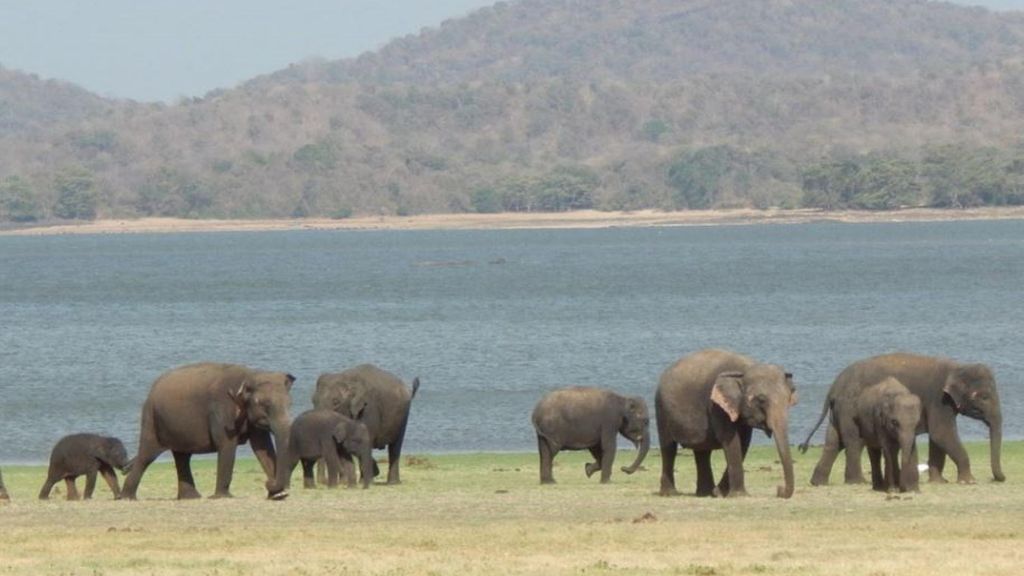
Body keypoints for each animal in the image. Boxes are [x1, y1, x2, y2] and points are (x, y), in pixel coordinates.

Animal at [122, 360, 296, 500]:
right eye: (265, 405)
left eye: (290, 404)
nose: (269, 482)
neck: (251, 375)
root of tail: (151, 390)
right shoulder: (222, 412)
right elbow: (227, 446)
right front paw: (222, 497)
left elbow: (262, 447)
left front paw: (278, 495)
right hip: (152, 420)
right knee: (147, 456)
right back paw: (127, 497)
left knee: (182, 457)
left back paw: (191, 497)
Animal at [655, 348, 798, 496]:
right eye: (761, 400)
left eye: (788, 399)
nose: (779, 489)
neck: (745, 369)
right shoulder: (716, 407)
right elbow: (731, 440)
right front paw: (737, 495)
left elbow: (744, 442)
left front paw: (718, 492)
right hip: (661, 409)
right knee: (669, 448)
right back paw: (670, 493)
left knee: (702, 451)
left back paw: (705, 493)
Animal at [798, 352, 999, 481]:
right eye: (984, 397)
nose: (1000, 479)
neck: (957, 367)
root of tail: (834, 386)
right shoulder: (938, 401)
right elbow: (942, 434)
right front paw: (969, 481)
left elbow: (937, 438)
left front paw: (939, 481)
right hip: (849, 410)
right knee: (854, 442)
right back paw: (858, 481)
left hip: (838, 413)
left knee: (833, 443)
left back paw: (818, 482)